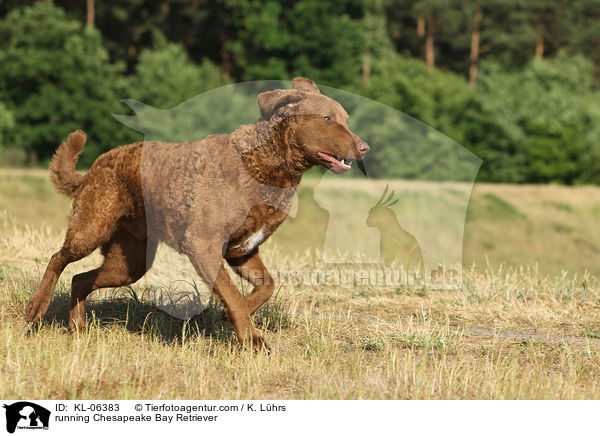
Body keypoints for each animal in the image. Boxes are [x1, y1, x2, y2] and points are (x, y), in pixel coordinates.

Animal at [25, 77, 368, 350]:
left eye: (347, 118)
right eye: (328, 118)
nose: (364, 147)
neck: (262, 164)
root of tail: (92, 170)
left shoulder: (242, 250)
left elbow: (265, 286)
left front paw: (227, 317)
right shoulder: (203, 244)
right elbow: (233, 294)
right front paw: (252, 339)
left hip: (130, 263)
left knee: (80, 279)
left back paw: (78, 328)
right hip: (92, 227)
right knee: (57, 259)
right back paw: (36, 309)